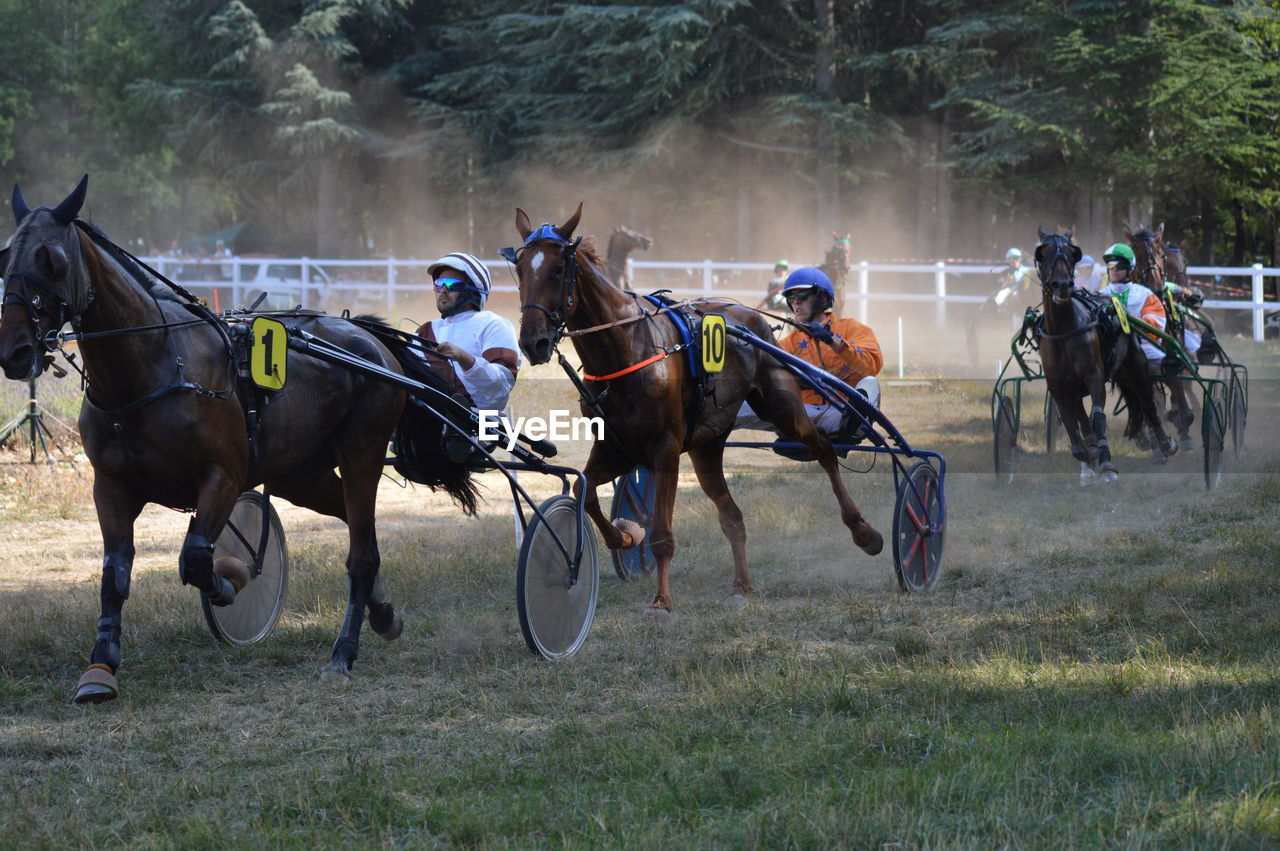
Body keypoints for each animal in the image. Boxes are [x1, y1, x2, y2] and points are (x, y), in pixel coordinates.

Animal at [0, 175, 476, 701]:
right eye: (5, 257)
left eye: (53, 260)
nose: (15, 351)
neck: (154, 368)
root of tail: (367, 336)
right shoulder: (111, 486)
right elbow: (114, 574)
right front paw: (101, 665)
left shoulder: (223, 477)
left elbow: (195, 559)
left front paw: (231, 582)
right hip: (302, 475)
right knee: (357, 526)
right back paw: (384, 614)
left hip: (362, 452)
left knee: (362, 550)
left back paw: (343, 652)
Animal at [509, 206, 880, 616]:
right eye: (520, 268)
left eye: (559, 269)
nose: (533, 342)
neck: (626, 349)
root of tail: (750, 315)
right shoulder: (616, 449)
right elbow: (583, 491)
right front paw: (626, 536)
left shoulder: (665, 449)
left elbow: (661, 532)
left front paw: (661, 601)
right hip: (707, 447)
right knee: (733, 516)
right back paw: (741, 586)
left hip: (784, 406)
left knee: (824, 449)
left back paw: (864, 532)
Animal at [1034, 225, 1172, 481]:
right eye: (1043, 254)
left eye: (1072, 254)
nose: (1062, 285)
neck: (1064, 330)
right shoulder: (1058, 387)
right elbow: (1073, 428)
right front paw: (1089, 457)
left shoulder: (1094, 377)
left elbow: (1097, 419)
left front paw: (1106, 464)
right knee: (1082, 421)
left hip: (1135, 368)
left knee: (1148, 403)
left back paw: (1165, 443)